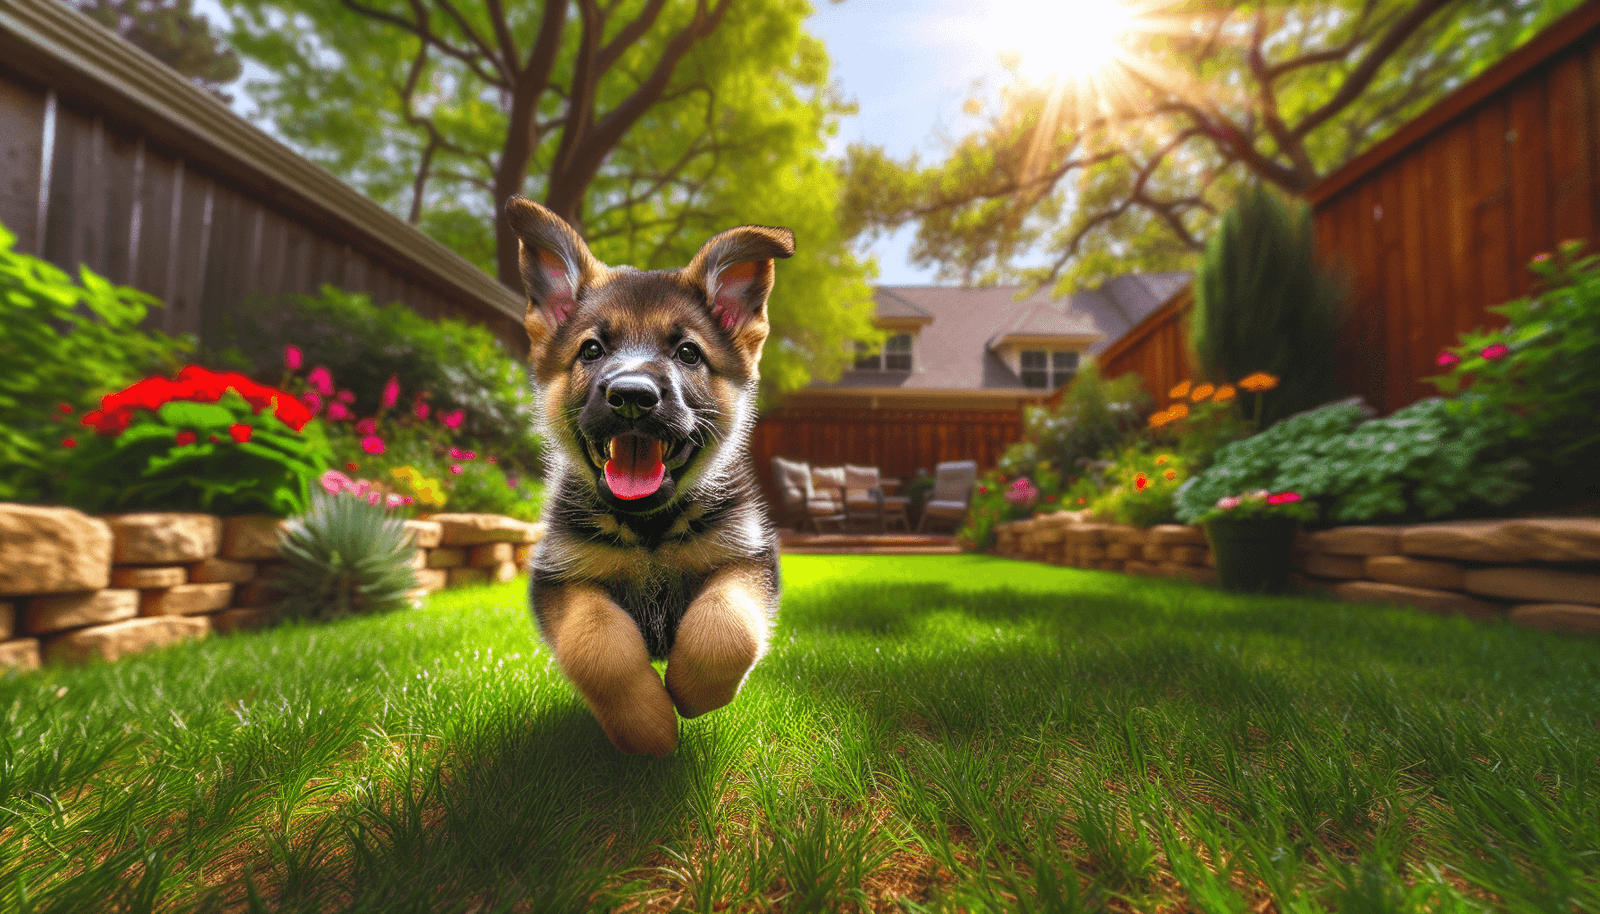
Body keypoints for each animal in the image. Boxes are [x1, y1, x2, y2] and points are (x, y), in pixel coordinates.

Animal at [505, 198, 793, 758]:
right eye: (592, 350)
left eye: (688, 353)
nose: (632, 396)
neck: (649, 530)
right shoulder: (563, 575)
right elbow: (598, 646)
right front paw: (650, 728)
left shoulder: (745, 557)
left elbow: (725, 627)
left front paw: (688, 692)